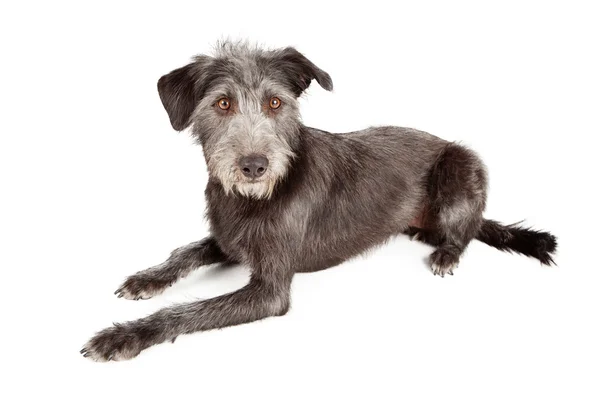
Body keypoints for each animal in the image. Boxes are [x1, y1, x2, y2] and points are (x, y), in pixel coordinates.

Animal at [81, 42, 556, 360]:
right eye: (222, 103)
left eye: (275, 102)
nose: (254, 166)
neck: (254, 198)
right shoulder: (229, 240)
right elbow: (184, 251)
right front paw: (147, 278)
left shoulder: (270, 289)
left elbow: (188, 311)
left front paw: (124, 336)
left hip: (462, 164)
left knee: (466, 230)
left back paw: (447, 252)